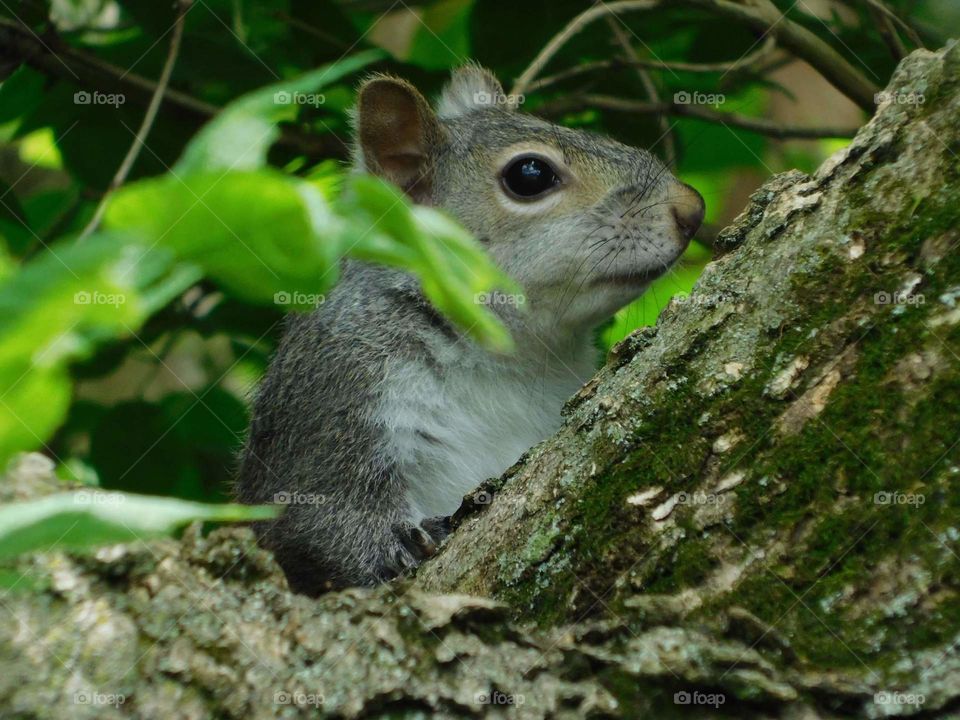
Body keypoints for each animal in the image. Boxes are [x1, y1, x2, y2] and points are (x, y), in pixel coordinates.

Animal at [236, 65, 704, 595]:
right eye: (529, 174)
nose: (691, 208)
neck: (514, 356)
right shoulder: (335, 395)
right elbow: (321, 523)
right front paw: (407, 545)